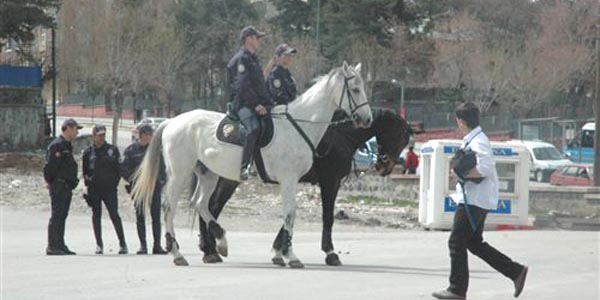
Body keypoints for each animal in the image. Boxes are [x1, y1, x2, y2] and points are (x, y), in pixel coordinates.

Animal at [132, 61, 370, 268]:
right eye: (355, 89)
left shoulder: (298, 182)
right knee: (170, 207)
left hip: (208, 174)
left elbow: (290, 215)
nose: (367, 119)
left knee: (200, 203)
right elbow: (290, 215)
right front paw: (291, 255)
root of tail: (172, 121)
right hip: (180, 173)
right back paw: (178, 253)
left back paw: (220, 242)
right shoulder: (292, 180)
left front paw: (282, 253)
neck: (298, 127)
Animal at [197, 109, 412, 266]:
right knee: (211, 206)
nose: (385, 166)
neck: (340, 137)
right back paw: (210, 249)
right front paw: (330, 253)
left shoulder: (297, 182)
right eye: (399, 135)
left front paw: (278, 251)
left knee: (210, 206)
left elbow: (289, 216)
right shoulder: (330, 182)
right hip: (227, 180)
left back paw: (210, 248)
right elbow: (327, 218)